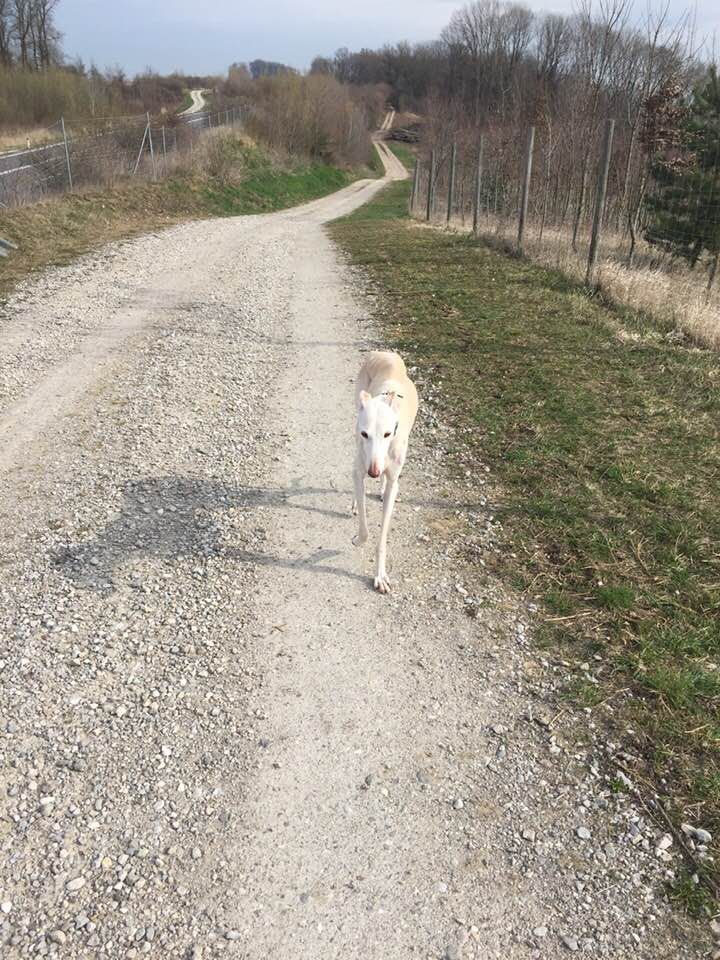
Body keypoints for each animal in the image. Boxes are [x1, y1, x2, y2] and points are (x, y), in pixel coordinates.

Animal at [352, 351, 419, 593]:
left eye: (388, 434)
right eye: (365, 434)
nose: (373, 472)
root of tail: (384, 353)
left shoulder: (393, 482)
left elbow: (381, 539)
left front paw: (380, 576)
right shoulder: (358, 470)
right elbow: (365, 529)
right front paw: (358, 540)